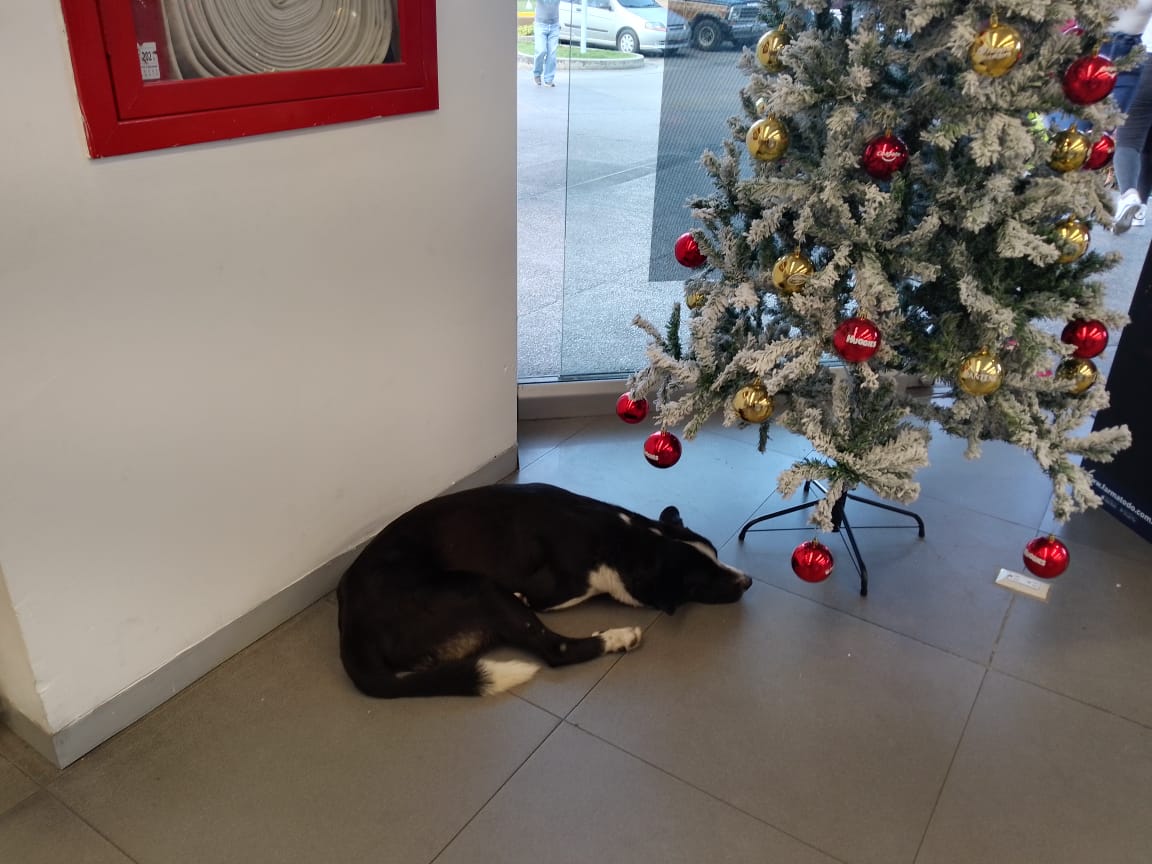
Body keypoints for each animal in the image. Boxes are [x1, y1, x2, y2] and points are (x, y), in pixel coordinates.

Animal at [336, 483, 751, 700]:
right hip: (480, 587)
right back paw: (617, 637)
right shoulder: (552, 591)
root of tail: (351, 631)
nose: (747, 581)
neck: (622, 540)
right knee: (557, 650)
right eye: (701, 583)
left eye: (717, 556)